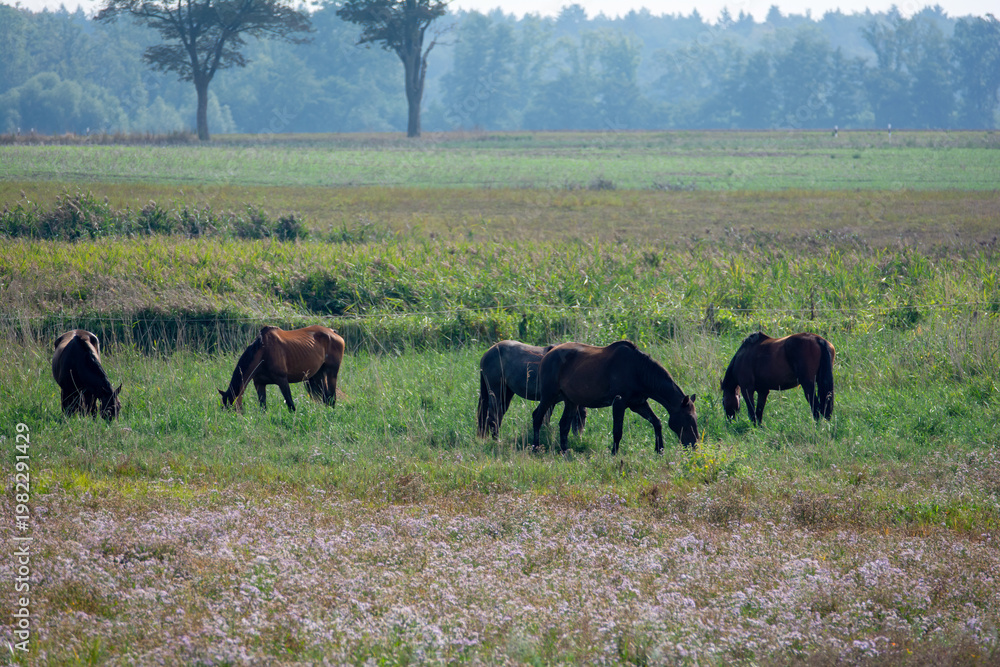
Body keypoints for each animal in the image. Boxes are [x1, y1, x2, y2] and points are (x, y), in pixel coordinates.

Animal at [530, 340, 698, 454]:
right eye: (688, 419)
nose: (694, 445)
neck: (638, 371)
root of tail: (547, 354)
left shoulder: (638, 404)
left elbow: (657, 422)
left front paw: (659, 450)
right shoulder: (619, 403)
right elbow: (617, 431)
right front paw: (614, 453)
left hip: (570, 401)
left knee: (564, 425)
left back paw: (565, 451)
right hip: (549, 396)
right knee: (537, 417)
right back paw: (535, 447)